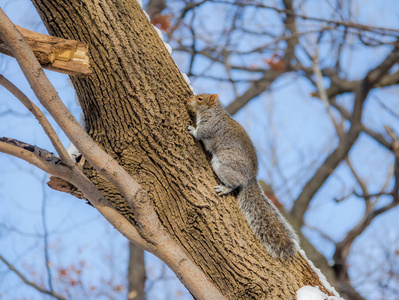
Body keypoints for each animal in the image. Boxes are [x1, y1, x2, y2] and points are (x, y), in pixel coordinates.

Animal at [188, 93, 300, 258]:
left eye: (200, 99)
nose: (189, 99)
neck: (214, 112)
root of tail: (250, 178)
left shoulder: (211, 127)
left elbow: (201, 133)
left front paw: (192, 129)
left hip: (222, 166)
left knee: (235, 184)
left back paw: (224, 188)